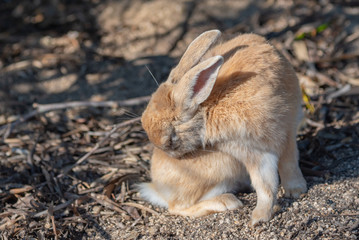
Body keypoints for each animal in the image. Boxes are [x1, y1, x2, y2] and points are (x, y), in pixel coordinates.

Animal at [139, 29, 308, 225]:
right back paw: (227, 202)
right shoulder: (253, 152)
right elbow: (266, 184)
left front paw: (294, 193)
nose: (175, 158)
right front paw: (259, 218)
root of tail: (157, 189)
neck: (207, 109)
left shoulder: (284, 134)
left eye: (170, 141)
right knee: (177, 207)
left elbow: (285, 168)